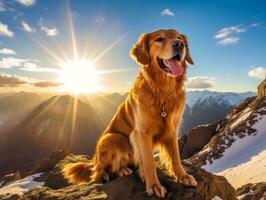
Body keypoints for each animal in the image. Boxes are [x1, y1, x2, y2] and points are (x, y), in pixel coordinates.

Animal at [61, 28, 195, 198]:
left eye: (179, 38)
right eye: (159, 39)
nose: (179, 44)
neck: (163, 92)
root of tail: (94, 159)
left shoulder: (172, 130)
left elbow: (176, 157)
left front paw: (183, 176)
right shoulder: (141, 133)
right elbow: (149, 162)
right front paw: (154, 186)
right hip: (112, 138)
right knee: (98, 171)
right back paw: (112, 172)